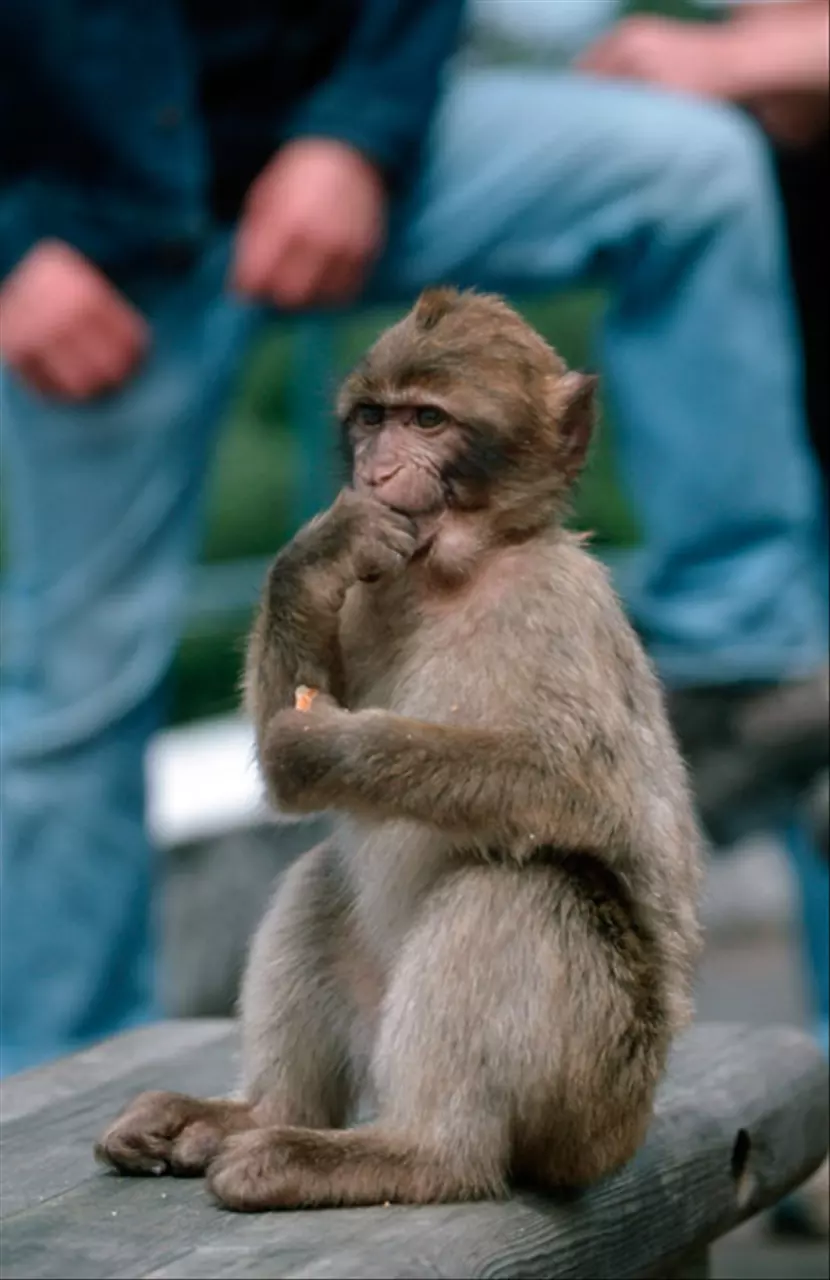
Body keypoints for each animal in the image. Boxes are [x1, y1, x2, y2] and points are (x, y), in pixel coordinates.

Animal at [98, 288, 707, 1208]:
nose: (378, 472)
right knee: (324, 876)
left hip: (597, 1090)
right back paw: (256, 1113)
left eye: (428, 419)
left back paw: (413, 1154)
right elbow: (283, 767)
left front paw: (340, 748)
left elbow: (577, 784)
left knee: (526, 884)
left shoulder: (559, 604)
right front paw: (316, 555)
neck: (461, 571)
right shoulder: (377, 585)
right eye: (373, 419)